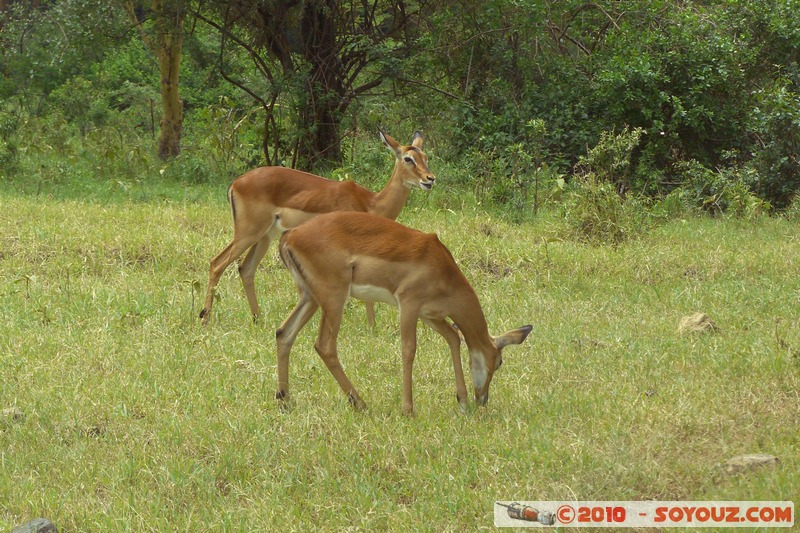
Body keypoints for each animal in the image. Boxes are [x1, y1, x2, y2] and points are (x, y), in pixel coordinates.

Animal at [200, 130, 435, 325]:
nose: (430, 179)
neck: (371, 203)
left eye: (426, 157)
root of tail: (236, 183)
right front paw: (372, 327)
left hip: (265, 236)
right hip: (249, 232)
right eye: (408, 158)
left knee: (246, 268)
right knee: (217, 263)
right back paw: (205, 317)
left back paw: (257, 319)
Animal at [276, 211, 533, 415]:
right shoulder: (408, 304)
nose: (483, 399)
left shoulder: (430, 315)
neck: (443, 269)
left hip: (310, 298)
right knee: (324, 346)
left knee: (283, 333)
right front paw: (408, 409)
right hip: (334, 298)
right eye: (499, 362)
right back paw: (360, 403)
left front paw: (462, 402)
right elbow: (409, 350)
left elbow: (453, 338)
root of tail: (291, 235)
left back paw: (284, 401)